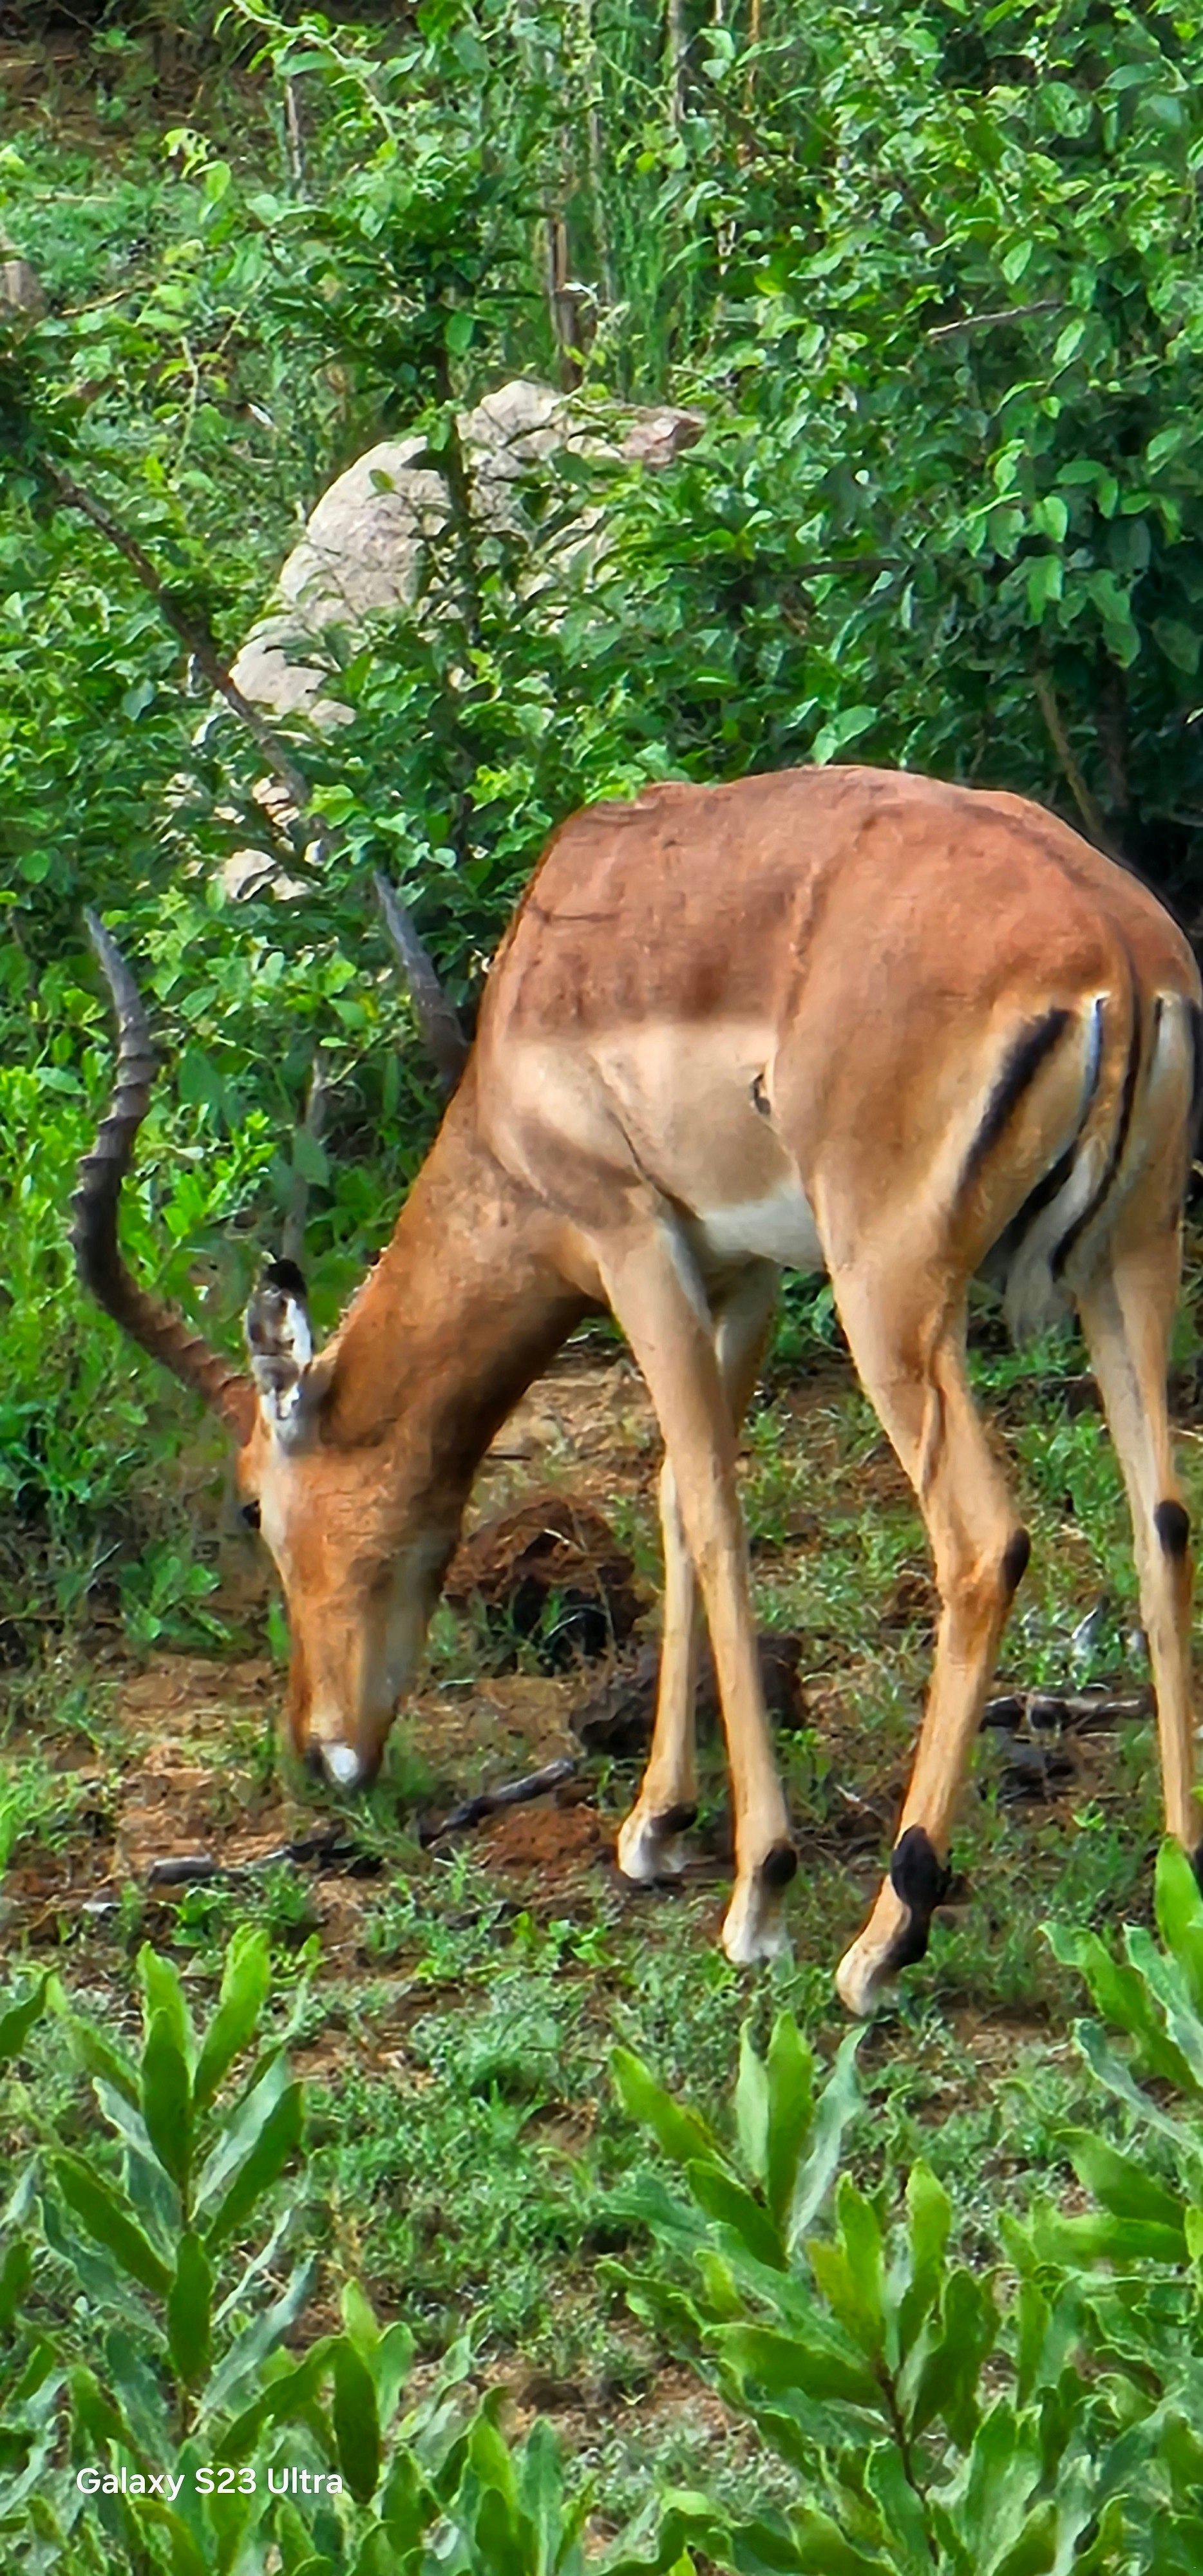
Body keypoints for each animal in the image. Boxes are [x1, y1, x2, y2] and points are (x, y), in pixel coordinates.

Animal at [74, 764, 1203, 2015]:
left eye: (253, 1506)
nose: (317, 1751)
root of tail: (1113, 949)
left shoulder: (631, 1245)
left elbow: (710, 1512)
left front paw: (756, 1892)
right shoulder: (746, 1273)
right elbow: (670, 1495)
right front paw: (656, 1825)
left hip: (892, 1296)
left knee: (982, 1542)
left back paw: (882, 1938)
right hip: (1130, 1263)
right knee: (1162, 1520)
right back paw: (1177, 1881)